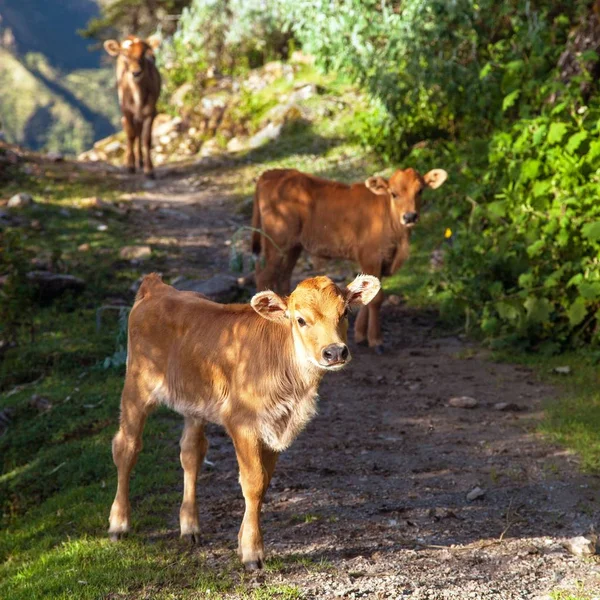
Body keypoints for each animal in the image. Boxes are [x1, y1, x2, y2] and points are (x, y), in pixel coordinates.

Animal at [104, 35, 162, 177]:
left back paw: (140, 161)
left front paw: (149, 169)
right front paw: (130, 165)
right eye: (125, 54)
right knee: (131, 131)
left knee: (139, 132)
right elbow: (130, 135)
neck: (138, 98)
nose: (136, 72)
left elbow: (146, 138)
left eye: (144, 53)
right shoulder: (126, 110)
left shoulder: (151, 110)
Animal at [251, 166, 448, 354]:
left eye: (420, 190)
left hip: (293, 247)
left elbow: (367, 296)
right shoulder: (371, 257)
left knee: (283, 276)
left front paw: (360, 334)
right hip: (276, 243)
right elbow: (377, 299)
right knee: (264, 275)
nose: (410, 216)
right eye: (394, 193)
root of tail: (272, 173)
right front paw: (376, 340)